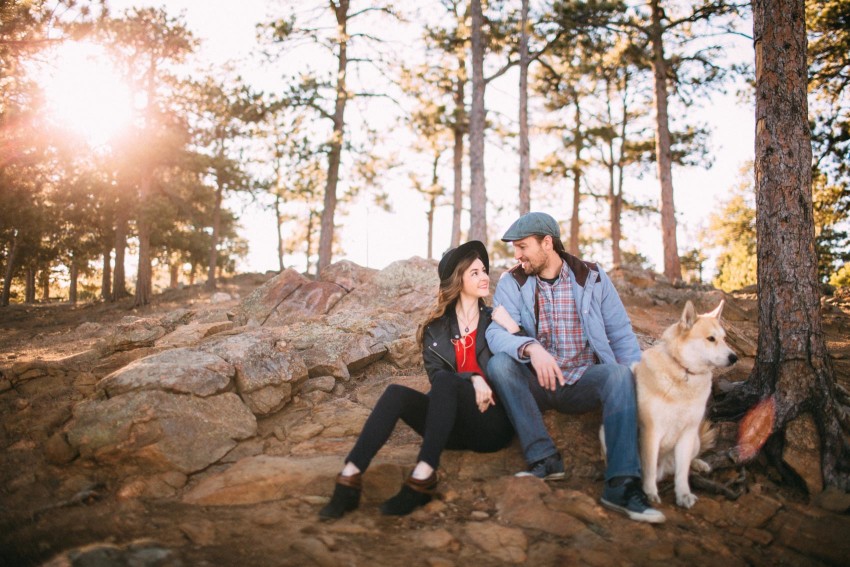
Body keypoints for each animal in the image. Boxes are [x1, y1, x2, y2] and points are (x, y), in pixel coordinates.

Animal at [632, 300, 740, 508]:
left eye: (724, 339)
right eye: (711, 339)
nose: (734, 358)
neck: (684, 372)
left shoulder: (688, 432)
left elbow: (682, 472)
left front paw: (683, 495)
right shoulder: (651, 431)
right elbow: (650, 467)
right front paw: (650, 492)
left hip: (694, 439)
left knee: (691, 458)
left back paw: (699, 464)